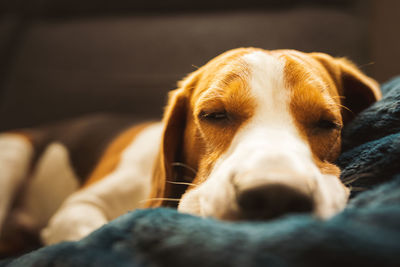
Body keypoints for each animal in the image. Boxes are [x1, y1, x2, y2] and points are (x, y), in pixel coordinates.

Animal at [0, 48, 382, 255]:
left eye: (327, 123)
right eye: (214, 114)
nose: (275, 195)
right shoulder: (77, 207)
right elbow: (91, 233)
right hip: (13, 153)